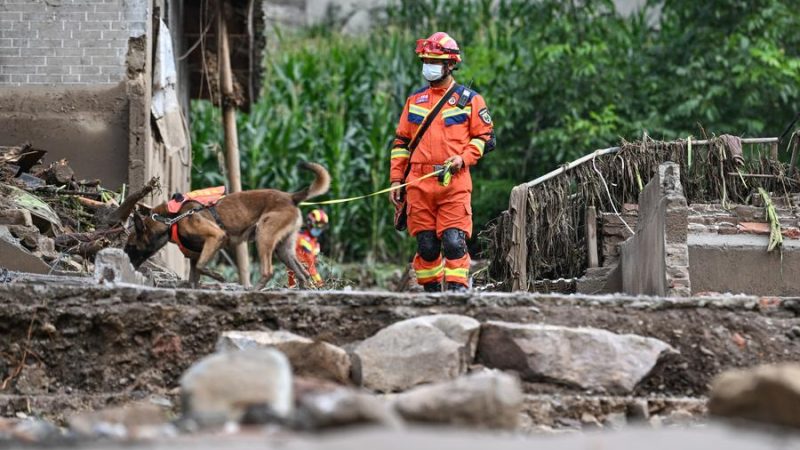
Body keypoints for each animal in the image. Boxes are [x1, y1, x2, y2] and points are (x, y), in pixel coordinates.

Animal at [123, 162, 330, 288]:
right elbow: (194, 276)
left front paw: (219, 277)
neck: (171, 218)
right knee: (303, 273)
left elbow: (201, 265)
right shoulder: (195, 255)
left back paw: (253, 290)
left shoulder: (216, 237)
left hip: (263, 235)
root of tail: (290, 197)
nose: (127, 263)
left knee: (268, 271)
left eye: (130, 246)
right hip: (283, 249)